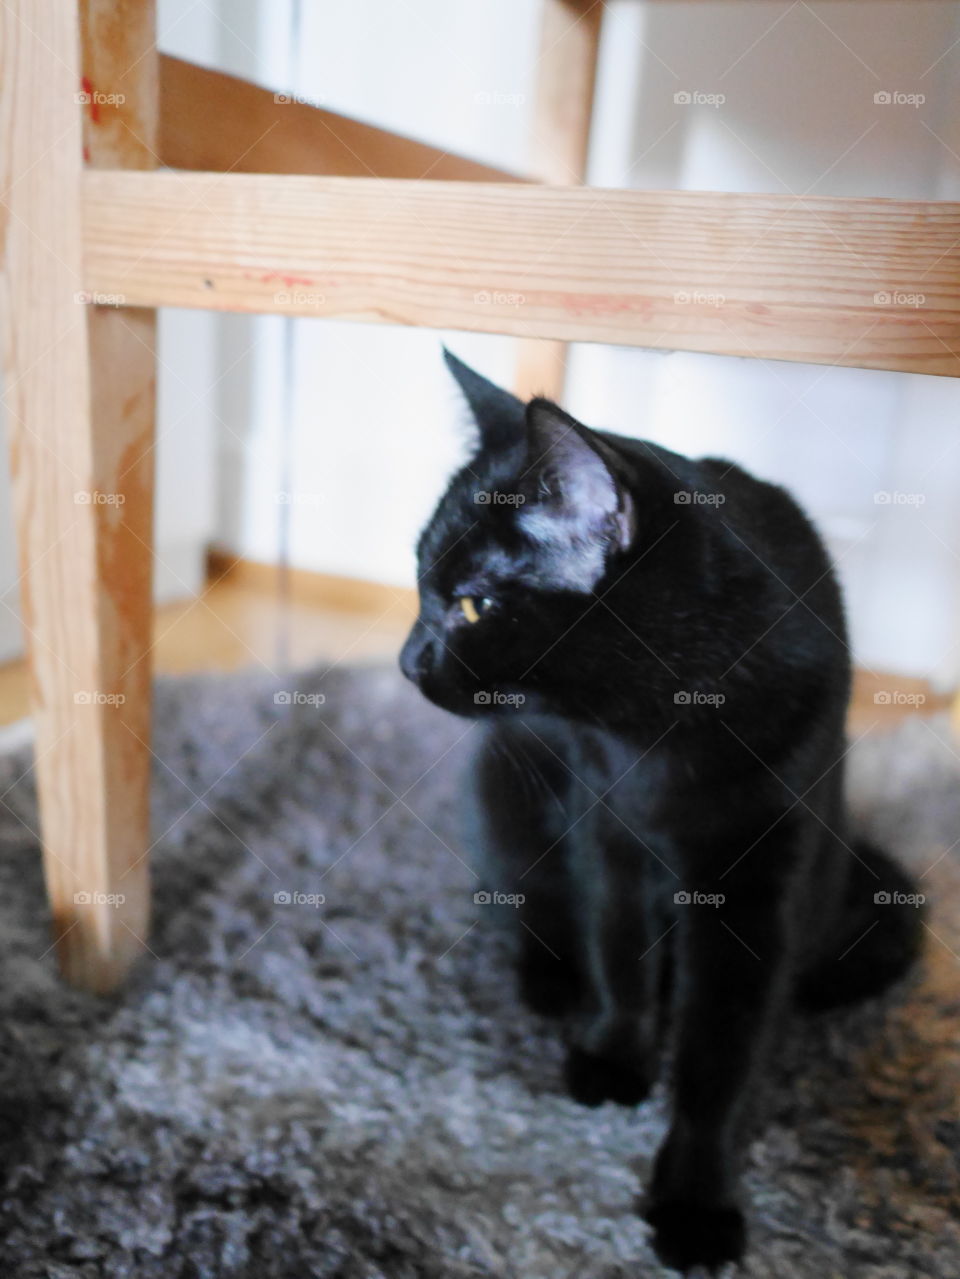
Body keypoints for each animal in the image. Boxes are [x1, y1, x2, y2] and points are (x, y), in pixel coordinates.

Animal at [398, 347, 925, 1268]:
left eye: (471, 604)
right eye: (422, 583)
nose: (404, 659)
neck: (666, 730)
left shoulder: (763, 888)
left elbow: (723, 1058)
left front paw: (695, 1203)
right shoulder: (608, 827)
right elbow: (619, 954)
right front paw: (615, 1059)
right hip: (505, 783)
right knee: (530, 906)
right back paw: (552, 980)